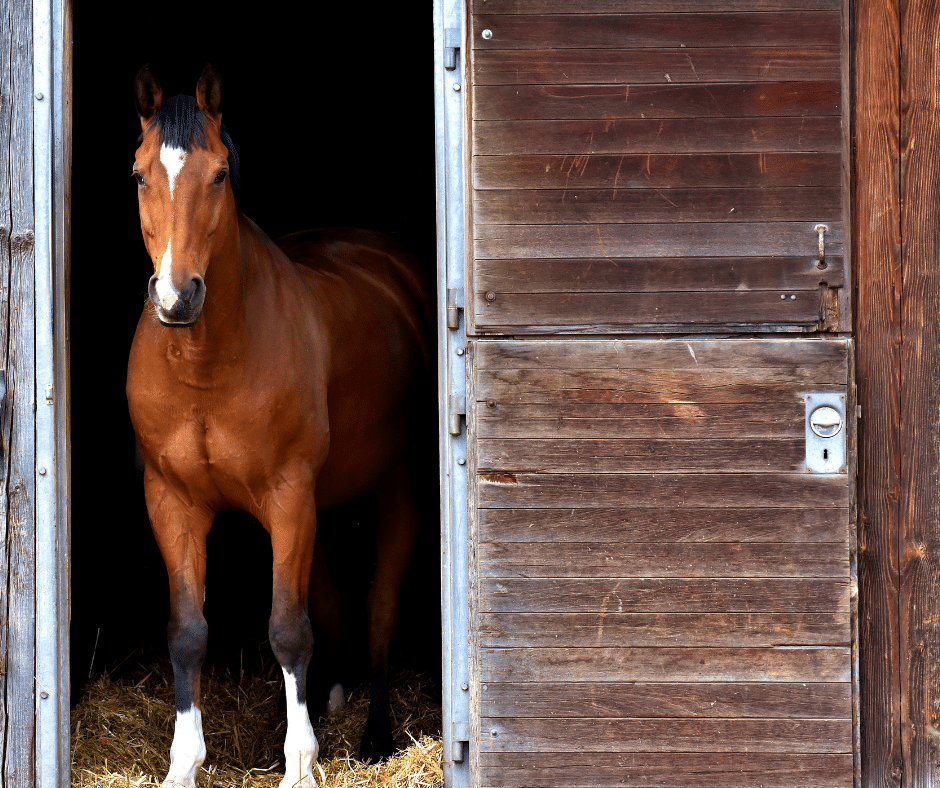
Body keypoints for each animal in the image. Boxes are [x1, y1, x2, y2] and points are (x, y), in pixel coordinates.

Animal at [126, 63, 434, 788]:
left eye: (218, 175)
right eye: (139, 174)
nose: (177, 297)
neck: (206, 364)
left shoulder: (288, 496)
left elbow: (288, 628)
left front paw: (299, 764)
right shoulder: (172, 502)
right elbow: (188, 630)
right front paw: (184, 763)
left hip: (395, 487)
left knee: (379, 606)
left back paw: (374, 735)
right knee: (332, 599)